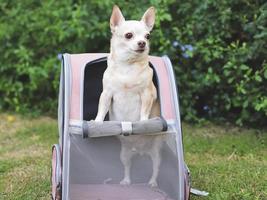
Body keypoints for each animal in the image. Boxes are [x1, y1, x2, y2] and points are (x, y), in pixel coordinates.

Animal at [95, 5, 164, 188]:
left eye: (147, 36)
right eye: (128, 35)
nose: (142, 43)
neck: (128, 66)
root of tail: (140, 151)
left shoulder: (146, 94)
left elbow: (144, 111)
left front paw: (143, 122)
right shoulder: (107, 93)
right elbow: (101, 109)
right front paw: (96, 122)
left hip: (156, 153)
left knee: (156, 167)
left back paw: (152, 182)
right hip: (124, 155)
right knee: (127, 168)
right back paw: (126, 181)